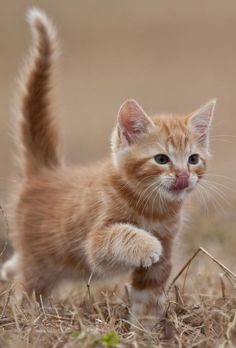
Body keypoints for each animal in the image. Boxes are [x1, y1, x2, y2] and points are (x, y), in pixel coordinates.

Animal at [1, 8, 216, 328]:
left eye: (193, 159)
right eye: (161, 159)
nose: (182, 176)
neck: (153, 208)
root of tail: (46, 171)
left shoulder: (161, 260)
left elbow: (148, 295)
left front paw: (145, 330)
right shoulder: (96, 243)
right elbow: (119, 236)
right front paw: (147, 245)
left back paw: (8, 269)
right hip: (40, 263)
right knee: (28, 288)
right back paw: (25, 316)